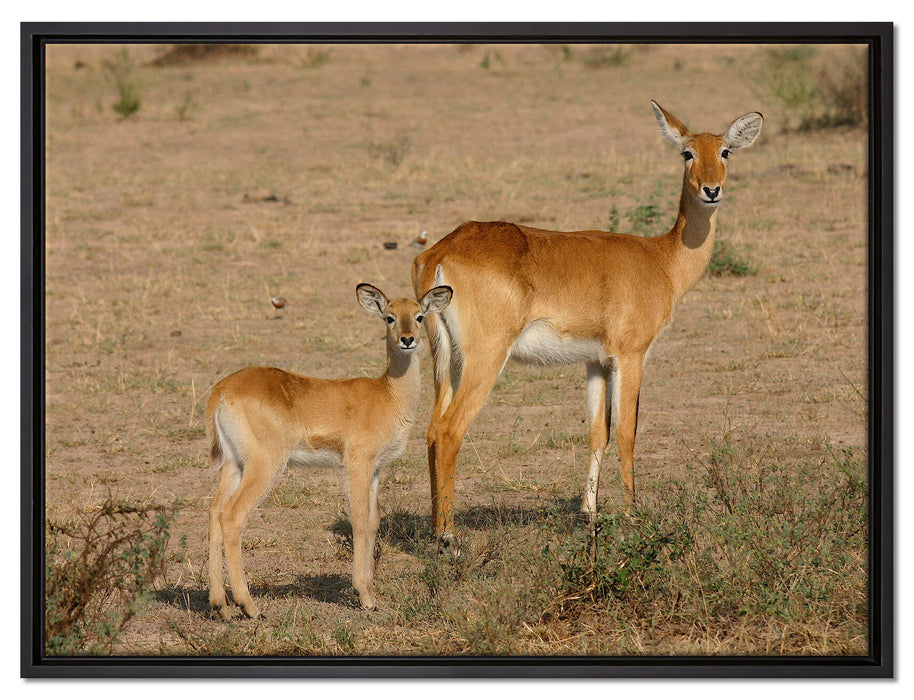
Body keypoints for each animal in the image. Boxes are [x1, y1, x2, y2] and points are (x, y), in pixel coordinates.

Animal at [206, 283, 453, 617]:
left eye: (419, 316)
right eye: (389, 317)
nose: (407, 339)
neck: (388, 394)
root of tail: (222, 391)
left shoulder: (376, 470)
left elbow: (373, 521)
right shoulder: (358, 464)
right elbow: (359, 520)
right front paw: (366, 597)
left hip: (233, 465)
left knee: (214, 511)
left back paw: (220, 604)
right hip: (264, 466)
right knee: (232, 516)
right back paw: (250, 606)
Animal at [412, 101, 763, 556]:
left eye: (725, 151)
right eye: (687, 152)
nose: (711, 190)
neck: (662, 260)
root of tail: (440, 252)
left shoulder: (596, 362)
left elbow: (599, 433)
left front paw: (589, 514)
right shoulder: (631, 356)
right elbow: (628, 433)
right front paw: (633, 517)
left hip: (446, 359)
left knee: (432, 430)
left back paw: (434, 530)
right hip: (485, 358)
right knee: (451, 430)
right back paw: (449, 538)